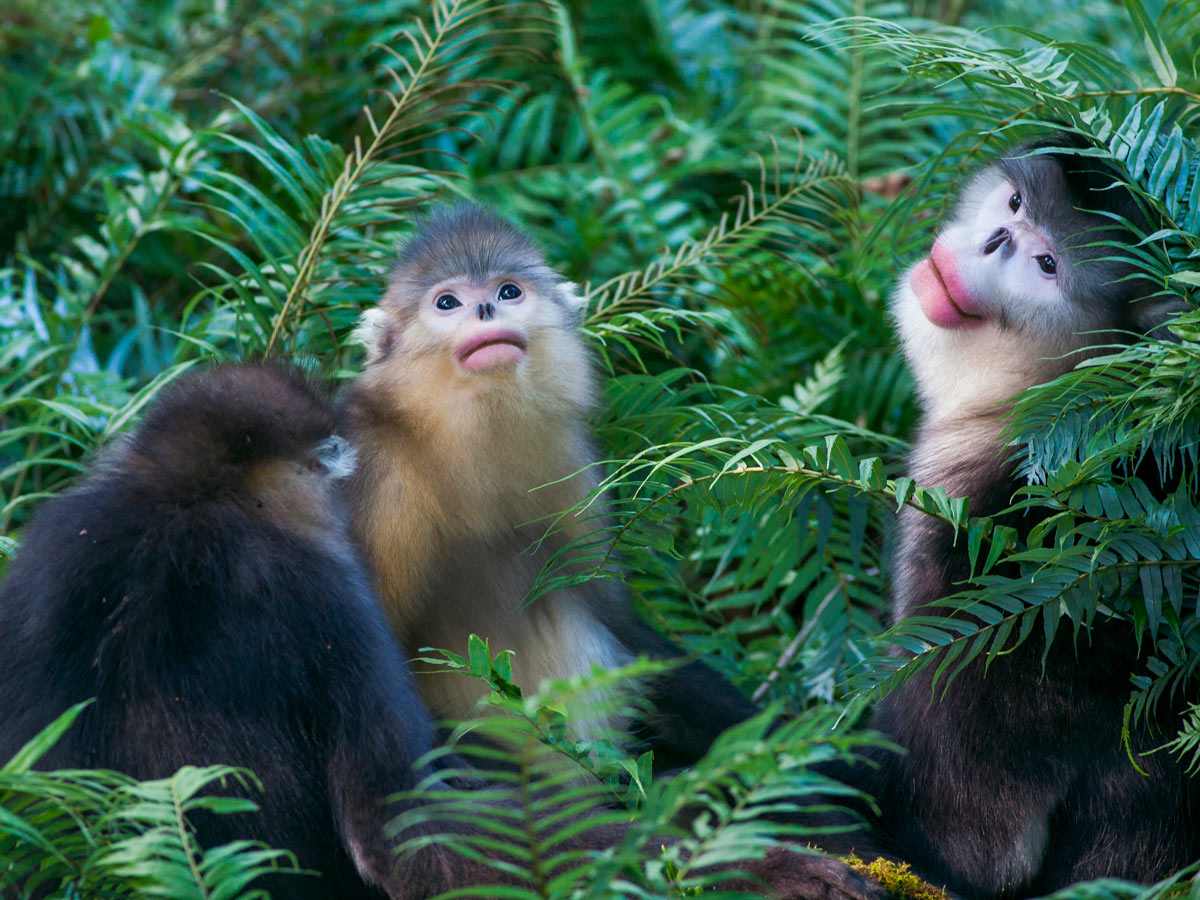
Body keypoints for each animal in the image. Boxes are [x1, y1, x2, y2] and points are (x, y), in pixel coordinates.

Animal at [340, 204, 748, 768]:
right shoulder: (377, 477)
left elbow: (617, 620)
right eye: (447, 302)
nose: (486, 308)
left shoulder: (569, 462)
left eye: (509, 291)